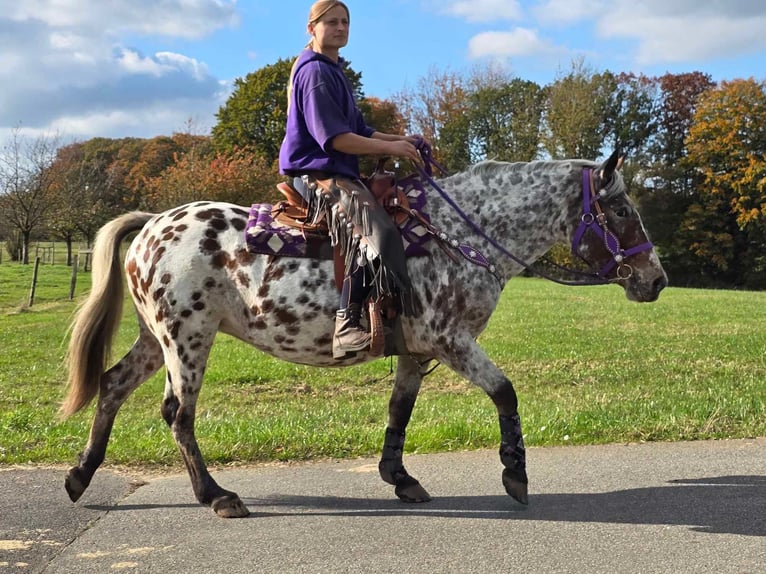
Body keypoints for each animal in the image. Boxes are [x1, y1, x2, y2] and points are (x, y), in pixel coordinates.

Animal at [63, 148, 668, 516]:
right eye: (619, 209)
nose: (656, 279)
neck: (459, 235)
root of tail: (152, 223)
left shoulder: (417, 351)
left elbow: (400, 411)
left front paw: (399, 477)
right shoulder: (451, 340)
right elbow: (505, 392)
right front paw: (515, 475)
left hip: (156, 339)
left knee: (112, 385)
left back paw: (80, 476)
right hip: (188, 338)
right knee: (177, 413)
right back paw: (216, 495)